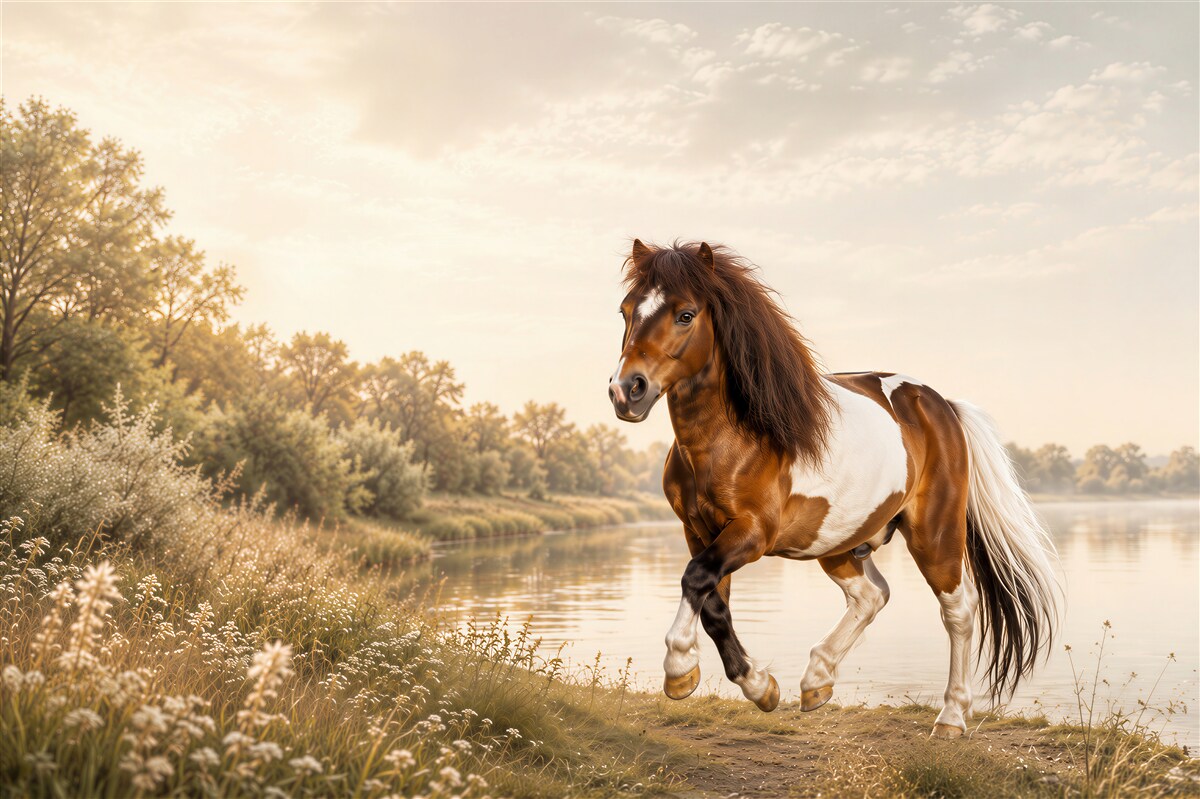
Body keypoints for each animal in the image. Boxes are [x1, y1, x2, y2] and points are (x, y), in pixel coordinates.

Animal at [607, 239, 1059, 739]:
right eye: (625, 310)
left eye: (686, 314)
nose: (626, 390)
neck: (732, 438)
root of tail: (941, 405)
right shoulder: (698, 531)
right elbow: (713, 606)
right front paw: (757, 686)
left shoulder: (752, 533)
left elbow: (695, 579)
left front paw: (680, 667)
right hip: (839, 541)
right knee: (871, 596)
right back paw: (816, 681)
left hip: (935, 534)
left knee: (958, 610)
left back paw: (951, 718)